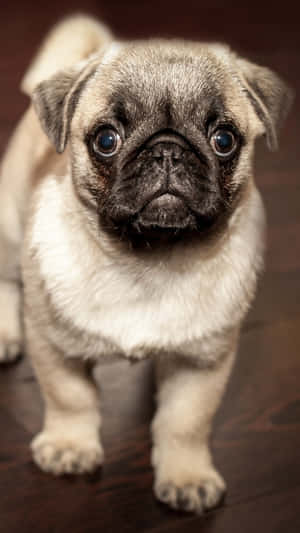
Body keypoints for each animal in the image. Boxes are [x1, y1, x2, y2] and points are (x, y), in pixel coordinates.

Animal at [0, 13, 292, 512]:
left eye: (224, 140)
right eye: (106, 140)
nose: (168, 149)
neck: (148, 261)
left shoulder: (202, 362)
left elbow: (185, 422)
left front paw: (187, 476)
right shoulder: (53, 345)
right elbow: (71, 397)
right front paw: (70, 446)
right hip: (8, 223)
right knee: (5, 277)